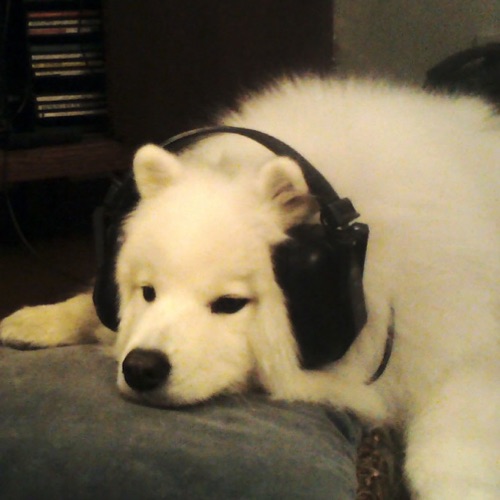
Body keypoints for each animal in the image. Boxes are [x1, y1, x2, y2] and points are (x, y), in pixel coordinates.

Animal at [1, 76, 499, 499]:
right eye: (148, 292)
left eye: (230, 304)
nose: (141, 368)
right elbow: (88, 305)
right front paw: (35, 320)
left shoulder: (465, 359)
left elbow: (446, 456)